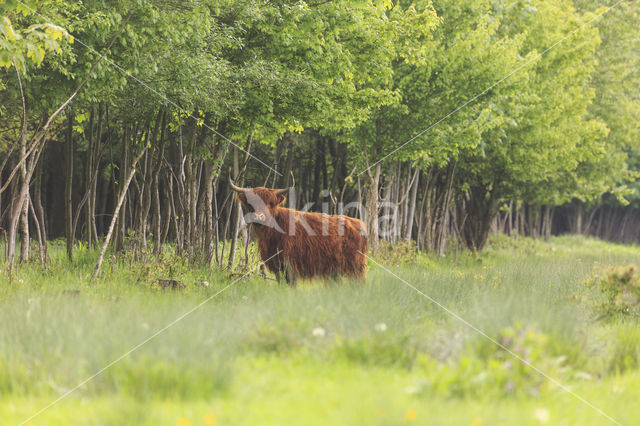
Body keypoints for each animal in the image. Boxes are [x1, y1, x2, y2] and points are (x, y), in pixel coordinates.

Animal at [230, 178, 368, 284]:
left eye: (270, 203)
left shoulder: (290, 265)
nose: (259, 217)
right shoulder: (277, 265)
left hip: (356, 267)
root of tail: (358, 223)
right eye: (251, 203)